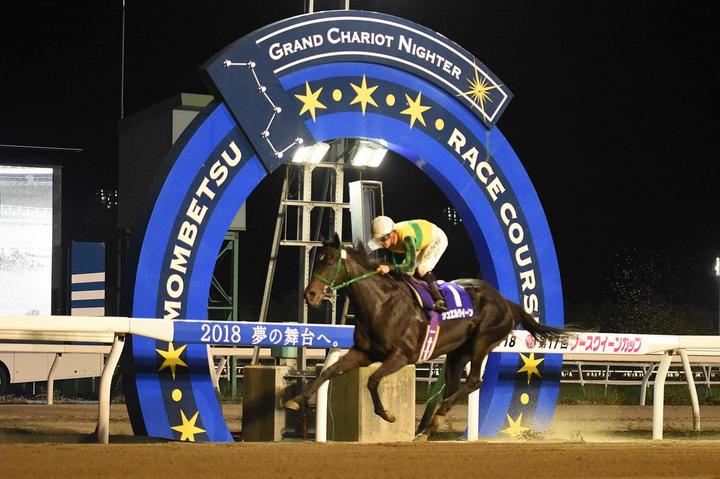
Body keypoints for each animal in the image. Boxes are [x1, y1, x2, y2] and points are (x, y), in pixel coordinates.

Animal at [284, 234, 570, 437]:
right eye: (316, 259)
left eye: (330, 261)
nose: (310, 294)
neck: (381, 304)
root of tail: (506, 301)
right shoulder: (364, 352)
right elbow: (329, 372)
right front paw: (297, 400)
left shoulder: (402, 355)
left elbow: (373, 381)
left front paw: (387, 415)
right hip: (458, 352)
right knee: (454, 385)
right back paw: (430, 426)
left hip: (482, 341)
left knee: (473, 381)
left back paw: (435, 420)